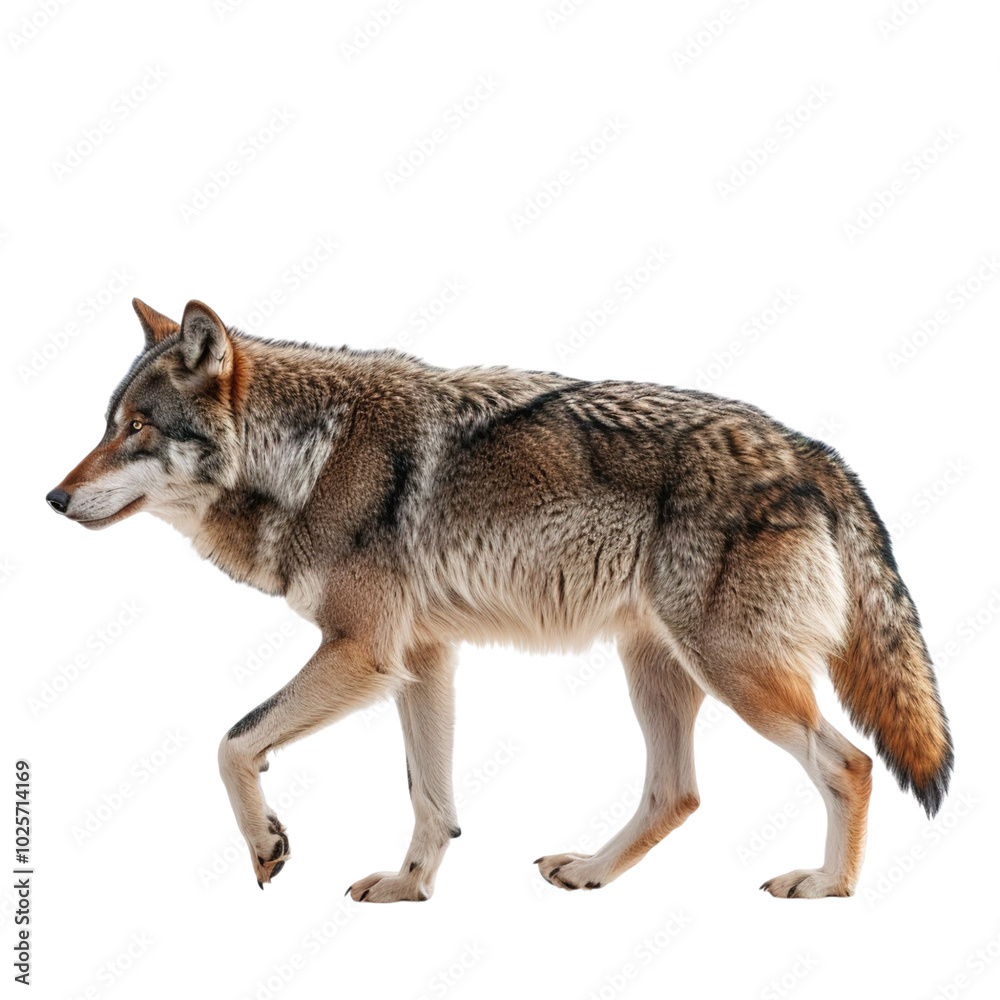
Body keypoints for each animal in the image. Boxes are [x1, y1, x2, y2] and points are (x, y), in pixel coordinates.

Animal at [46, 298, 953, 901]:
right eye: (107, 424)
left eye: (137, 428)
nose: (53, 499)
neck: (309, 456)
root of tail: (812, 452)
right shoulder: (420, 660)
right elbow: (432, 798)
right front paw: (410, 888)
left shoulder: (361, 652)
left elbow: (232, 743)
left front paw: (267, 842)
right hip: (657, 671)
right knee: (678, 793)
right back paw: (590, 871)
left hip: (737, 675)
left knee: (850, 763)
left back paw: (828, 887)